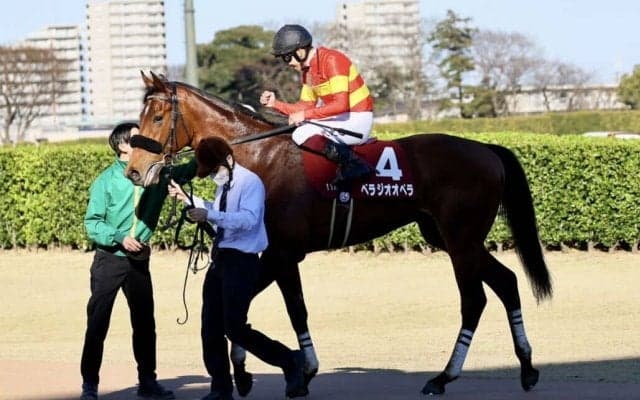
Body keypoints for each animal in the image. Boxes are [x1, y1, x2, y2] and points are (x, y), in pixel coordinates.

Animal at [126, 71, 552, 396]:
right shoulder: (275, 255)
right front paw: (253, 372)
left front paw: (298, 372)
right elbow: (253, 306)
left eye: (158, 117)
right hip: (450, 238)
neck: (261, 159)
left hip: (461, 239)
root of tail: (486, 148)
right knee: (507, 281)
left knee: (475, 300)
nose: (134, 170)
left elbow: (285, 309)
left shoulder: (283, 254)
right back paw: (527, 368)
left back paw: (444, 377)